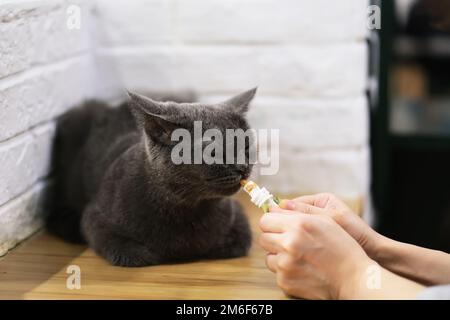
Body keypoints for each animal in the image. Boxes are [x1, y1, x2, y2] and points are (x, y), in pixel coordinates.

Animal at [47, 89, 256, 266]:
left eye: (246, 145)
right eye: (213, 152)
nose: (242, 167)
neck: (187, 209)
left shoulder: (238, 219)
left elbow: (235, 242)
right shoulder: (95, 218)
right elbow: (134, 254)